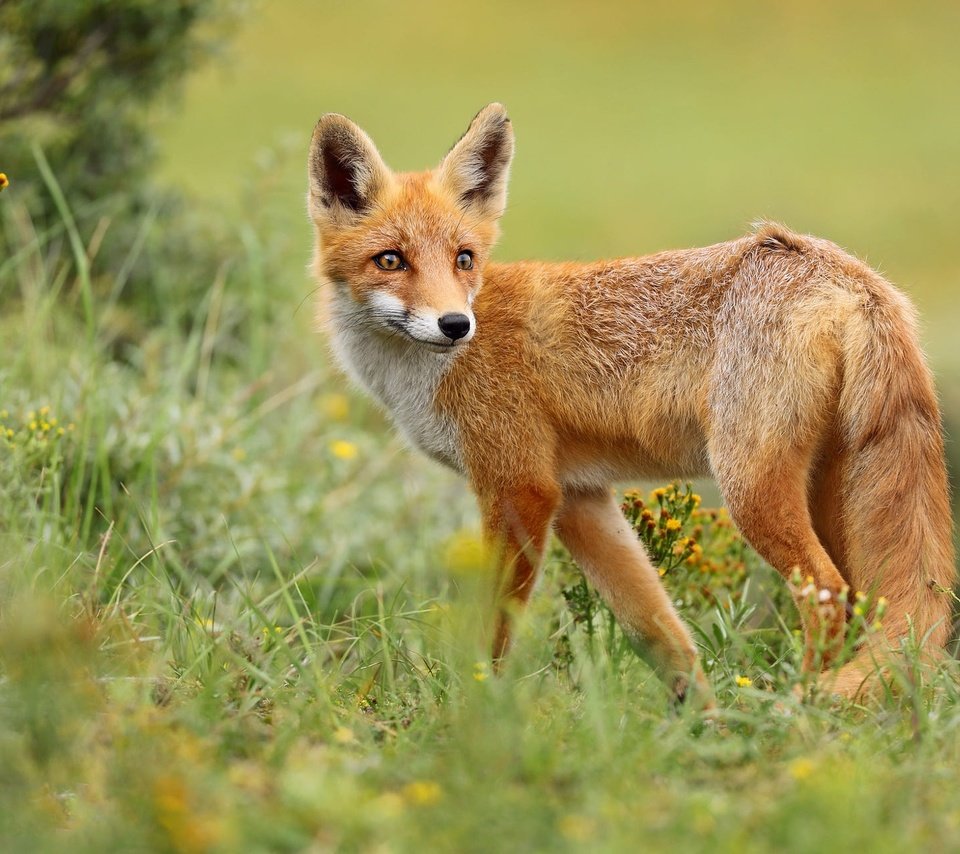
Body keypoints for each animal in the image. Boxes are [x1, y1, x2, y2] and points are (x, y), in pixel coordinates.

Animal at [306, 103, 952, 704]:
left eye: (464, 259)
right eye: (391, 260)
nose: (454, 324)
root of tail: (848, 273)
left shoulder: (519, 487)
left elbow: (492, 630)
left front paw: (470, 708)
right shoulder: (578, 497)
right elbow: (658, 630)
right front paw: (701, 719)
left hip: (749, 486)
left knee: (827, 594)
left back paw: (805, 706)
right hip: (829, 492)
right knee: (861, 601)